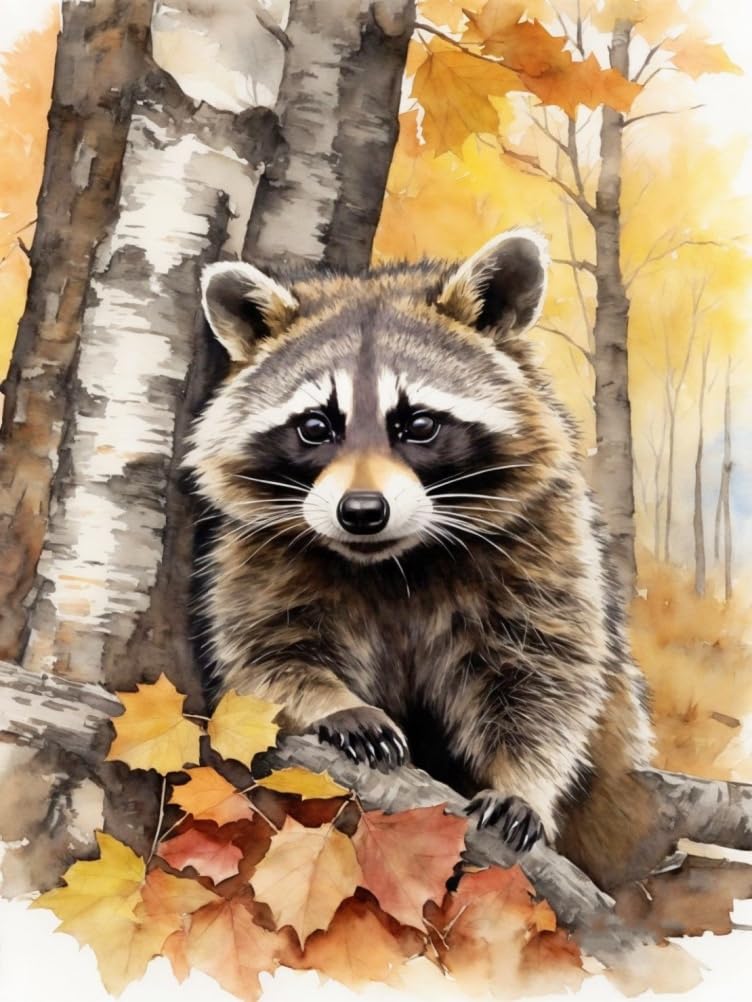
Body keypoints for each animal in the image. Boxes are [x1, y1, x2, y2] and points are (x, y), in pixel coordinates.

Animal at [185, 229, 656, 889]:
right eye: (315, 427)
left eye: (419, 425)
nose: (361, 511)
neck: (396, 560)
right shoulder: (257, 555)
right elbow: (264, 658)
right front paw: (338, 703)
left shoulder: (547, 544)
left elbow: (545, 680)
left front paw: (523, 783)